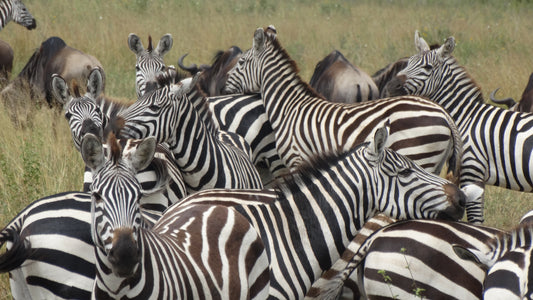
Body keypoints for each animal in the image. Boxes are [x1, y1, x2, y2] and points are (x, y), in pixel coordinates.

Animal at [222, 25, 464, 182]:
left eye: (241, 62)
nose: (223, 88)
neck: (289, 108)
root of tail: (443, 112)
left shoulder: (297, 158)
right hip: (434, 163)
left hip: (417, 155)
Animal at [394, 31, 533, 223]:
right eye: (408, 63)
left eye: (428, 67)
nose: (393, 85)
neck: (466, 117)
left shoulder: (472, 170)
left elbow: (475, 220)